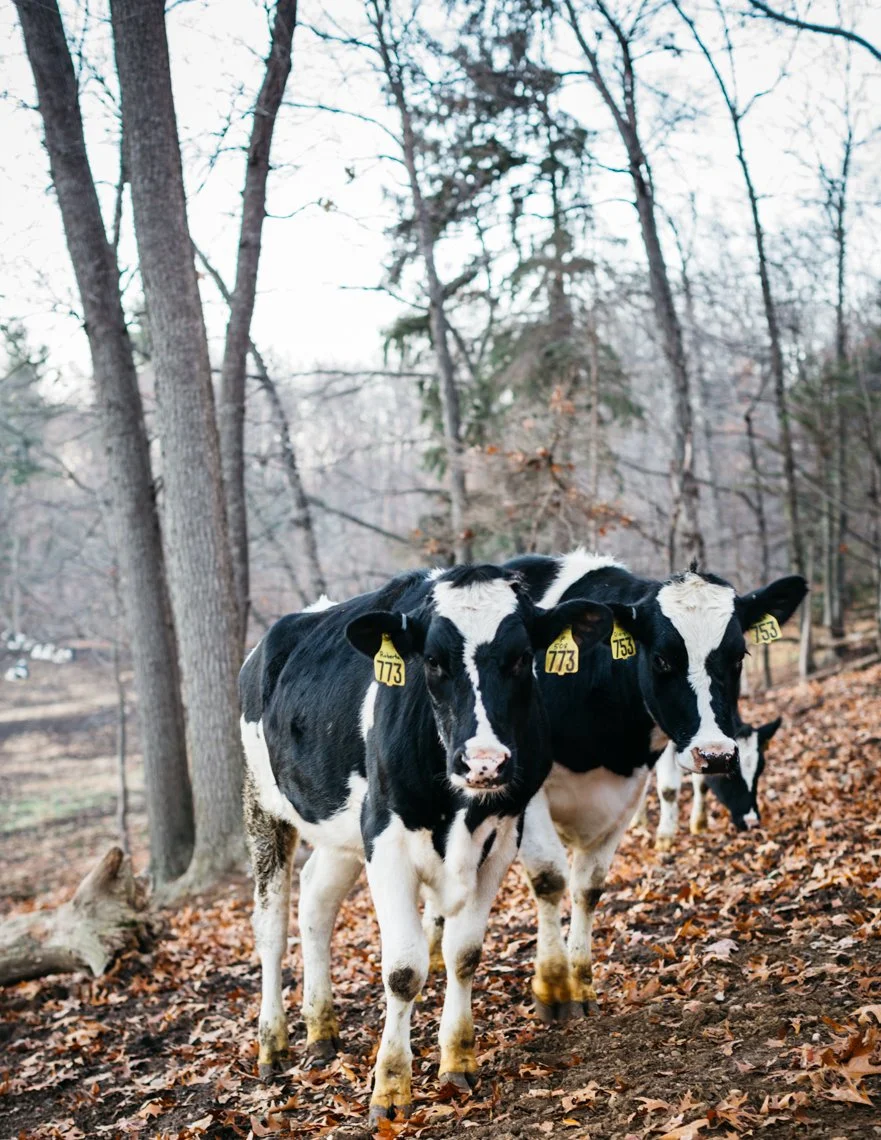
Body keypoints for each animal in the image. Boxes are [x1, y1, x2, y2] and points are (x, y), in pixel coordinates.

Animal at [239, 564, 612, 1121]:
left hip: (340, 831)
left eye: (522, 657)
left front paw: (458, 1061)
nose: (484, 762)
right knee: (271, 928)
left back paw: (321, 1030)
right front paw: (391, 1087)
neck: (458, 809)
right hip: (262, 805)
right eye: (432, 661)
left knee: (316, 905)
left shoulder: (503, 835)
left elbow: (463, 953)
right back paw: (273, 1045)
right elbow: (404, 969)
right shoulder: (385, 839)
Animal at [464, 551, 805, 1021]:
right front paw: (554, 990)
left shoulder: (631, 788)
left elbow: (589, 887)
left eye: (739, 655)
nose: (717, 755)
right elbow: (550, 878)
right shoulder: (526, 790)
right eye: (661, 659)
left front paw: (582, 985)